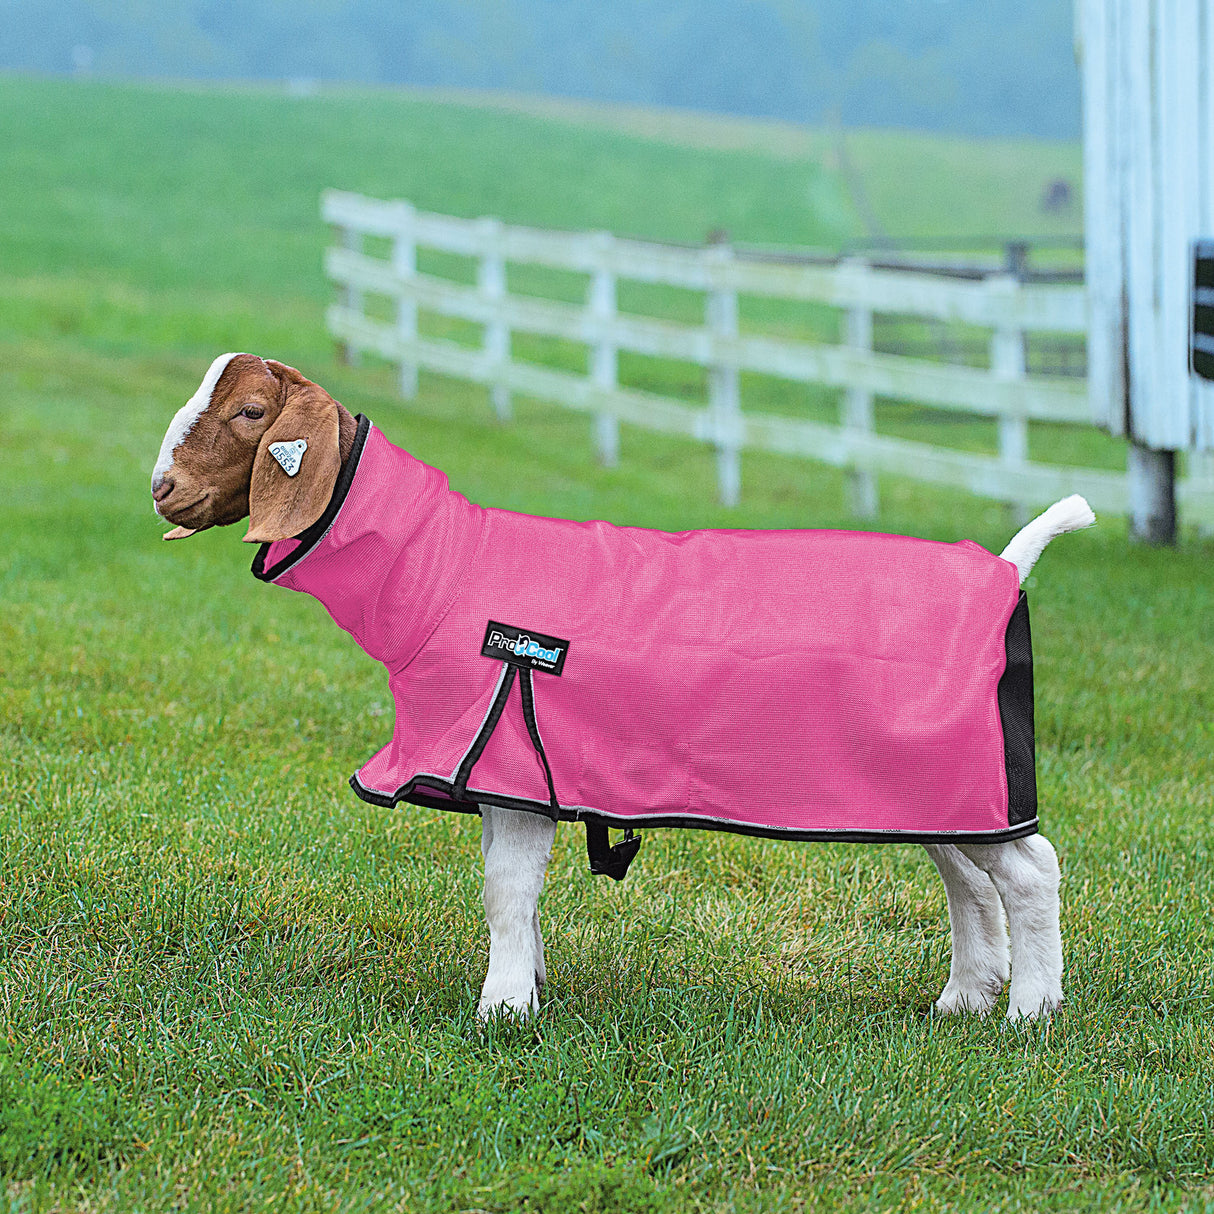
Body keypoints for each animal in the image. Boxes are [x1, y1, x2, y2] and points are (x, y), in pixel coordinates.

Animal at [152, 353, 1095, 1021]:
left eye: (249, 413)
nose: (162, 488)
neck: (442, 568)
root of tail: (1006, 567)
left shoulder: (508, 751)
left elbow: (507, 891)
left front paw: (501, 1010)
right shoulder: (500, 773)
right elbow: (510, 889)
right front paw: (528, 989)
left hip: (964, 771)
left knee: (1030, 869)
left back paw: (1031, 1009)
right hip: (936, 781)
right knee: (969, 875)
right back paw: (966, 997)